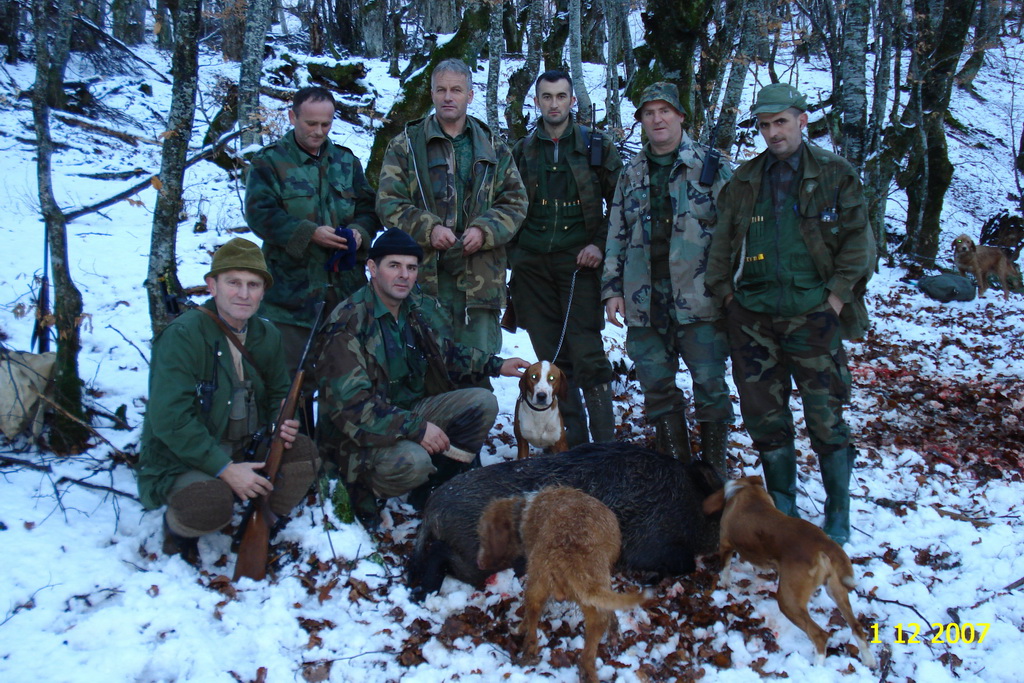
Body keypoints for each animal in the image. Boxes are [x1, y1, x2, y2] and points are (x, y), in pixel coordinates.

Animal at [475, 485, 643, 683]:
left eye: (483, 534)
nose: (479, 563)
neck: (524, 509)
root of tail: (568, 553)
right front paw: (615, 631)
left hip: (535, 588)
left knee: (531, 626)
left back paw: (526, 649)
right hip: (590, 599)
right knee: (588, 650)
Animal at [704, 475, 880, 667]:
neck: (747, 490)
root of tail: (824, 544)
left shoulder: (725, 544)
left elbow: (725, 568)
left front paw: (724, 582)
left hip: (788, 601)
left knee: (819, 635)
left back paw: (817, 667)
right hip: (836, 591)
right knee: (857, 627)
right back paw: (869, 660)